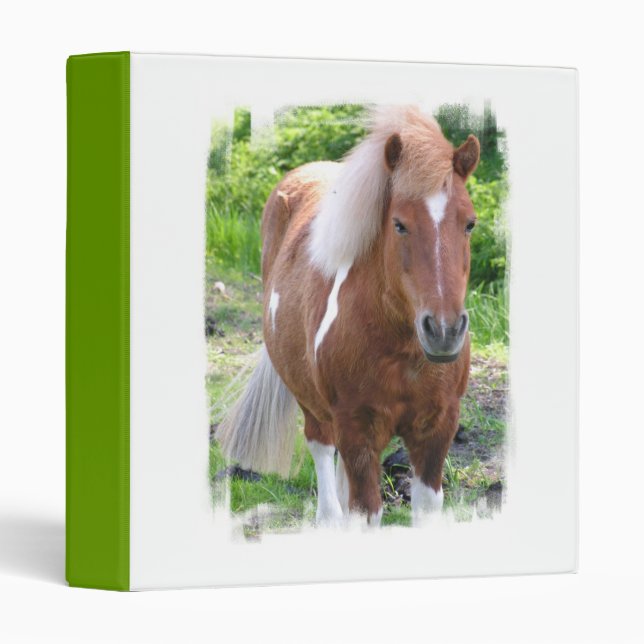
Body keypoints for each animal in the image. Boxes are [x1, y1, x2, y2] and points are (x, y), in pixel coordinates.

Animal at [216, 106, 480, 526]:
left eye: (469, 223)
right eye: (399, 224)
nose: (443, 331)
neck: (400, 351)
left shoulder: (437, 431)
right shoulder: (357, 430)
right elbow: (364, 510)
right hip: (314, 406)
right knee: (324, 461)